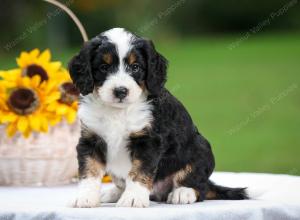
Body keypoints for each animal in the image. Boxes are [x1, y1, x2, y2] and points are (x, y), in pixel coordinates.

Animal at [69, 27, 247, 208]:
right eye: (104, 67)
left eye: (135, 67)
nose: (120, 91)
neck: (118, 112)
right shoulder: (90, 140)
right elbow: (89, 172)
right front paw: (86, 197)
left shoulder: (148, 141)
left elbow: (138, 172)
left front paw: (133, 198)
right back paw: (114, 193)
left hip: (200, 148)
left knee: (199, 185)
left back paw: (183, 192)